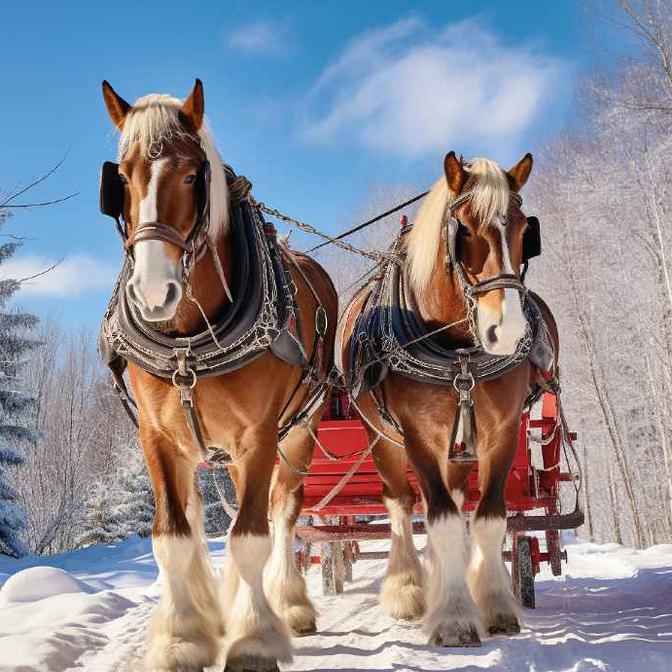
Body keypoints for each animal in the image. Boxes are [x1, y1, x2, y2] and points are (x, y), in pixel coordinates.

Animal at [100, 80, 337, 672]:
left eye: (191, 174)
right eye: (122, 178)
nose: (153, 293)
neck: (188, 342)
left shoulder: (258, 436)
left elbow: (251, 535)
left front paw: (254, 639)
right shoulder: (158, 437)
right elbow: (173, 536)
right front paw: (183, 638)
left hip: (300, 431)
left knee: (284, 512)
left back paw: (289, 605)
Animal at [338, 151, 558, 647]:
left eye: (525, 232)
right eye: (465, 231)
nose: (506, 332)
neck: (458, 352)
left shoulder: (502, 431)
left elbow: (487, 518)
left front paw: (494, 605)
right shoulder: (418, 436)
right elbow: (437, 520)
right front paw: (454, 617)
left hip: (460, 446)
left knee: (454, 502)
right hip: (383, 439)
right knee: (403, 504)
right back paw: (409, 589)